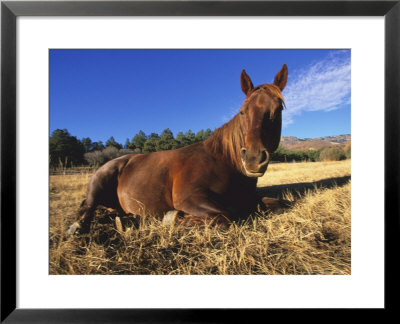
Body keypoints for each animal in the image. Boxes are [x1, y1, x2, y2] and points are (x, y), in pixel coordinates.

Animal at [68, 64, 288, 235]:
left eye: (278, 111)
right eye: (242, 112)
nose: (253, 159)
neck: (223, 161)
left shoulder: (248, 198)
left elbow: (277, 204)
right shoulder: (190, 198)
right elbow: (226, 215)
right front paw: (174, 218)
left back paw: (126, 219)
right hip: (99, 181)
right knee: (88, 207)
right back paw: (79, 227)